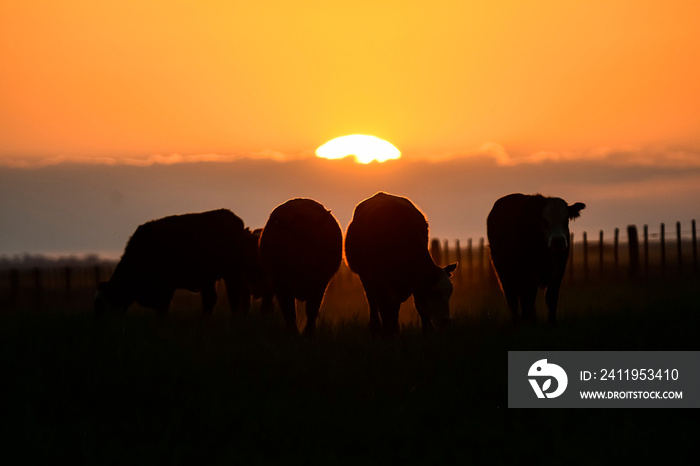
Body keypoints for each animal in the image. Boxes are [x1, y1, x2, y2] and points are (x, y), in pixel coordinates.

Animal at [94, 208, 264, 314]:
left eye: (101, 306)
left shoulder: (166, 286)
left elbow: (163, 309)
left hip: (230, 275)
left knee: (235, 299)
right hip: (218, 278)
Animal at [258, 198, 344, 334]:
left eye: (314, 240)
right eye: (293, 238)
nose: (303, 259)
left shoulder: (319, 285)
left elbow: (312, 311)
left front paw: (309, 332)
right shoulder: (281, 284)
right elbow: (289, 312)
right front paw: (292, 332)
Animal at [344, 192, 460, 334]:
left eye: (450, 292)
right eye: (432, 292)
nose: (445, 321)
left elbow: (416, 309)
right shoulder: (379, 280)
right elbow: (384, 308)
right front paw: (387, 332)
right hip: (366, 278)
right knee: (373, 302)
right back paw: (376, 327)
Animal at [486, 193, 584, 324]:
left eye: (566, 220)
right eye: (544, 220)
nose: (558, 241)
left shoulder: (559, 269)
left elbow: (551, 296)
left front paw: (552, 321)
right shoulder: (527, 272)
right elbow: (527, 298)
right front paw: (528, 321)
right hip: (504, 273)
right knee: (513, 298)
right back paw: (518, 319)